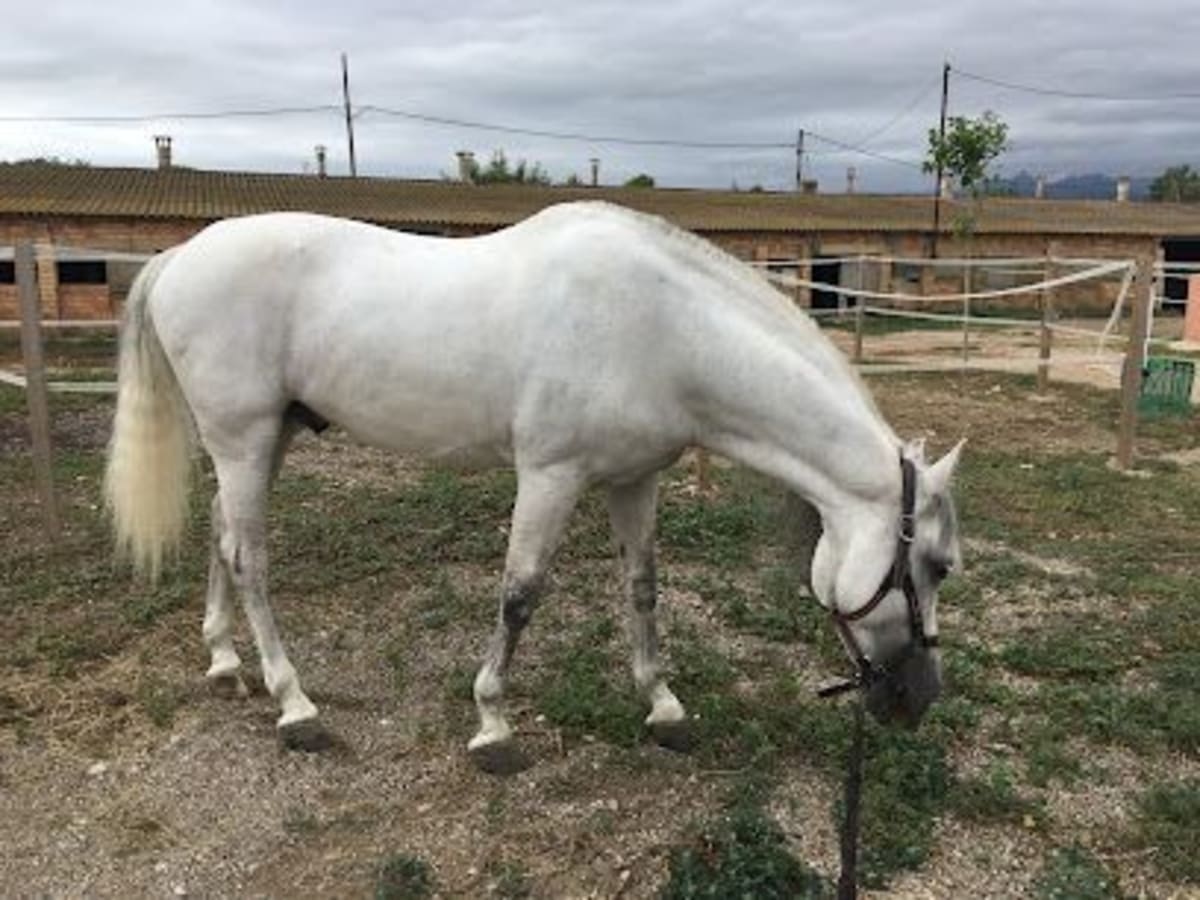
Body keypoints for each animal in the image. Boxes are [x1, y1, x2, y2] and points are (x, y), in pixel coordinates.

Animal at [104, 202, 962, 767]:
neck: (664, 329)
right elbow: (520, 593)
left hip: (261, 441)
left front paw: (663, 706)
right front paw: (493, 724)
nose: (919, 698)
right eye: (937, 565)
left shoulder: (633, 481)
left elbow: (642, 589)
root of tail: (181, 256)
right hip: (244, 441)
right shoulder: (550, 476)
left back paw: (225, 663)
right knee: (250, 561)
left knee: (222, 539)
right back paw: (295, 705)